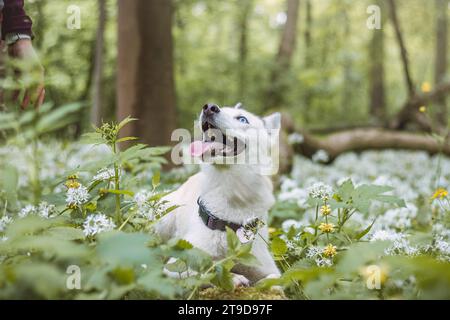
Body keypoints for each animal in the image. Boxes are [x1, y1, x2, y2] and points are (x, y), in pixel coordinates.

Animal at [156, 102, 280, 284]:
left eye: (242, 119)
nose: (209, 107)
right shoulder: (176, 265)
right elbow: (210, 269)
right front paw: (233, 277)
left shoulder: (266, 267)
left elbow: (275, 278)